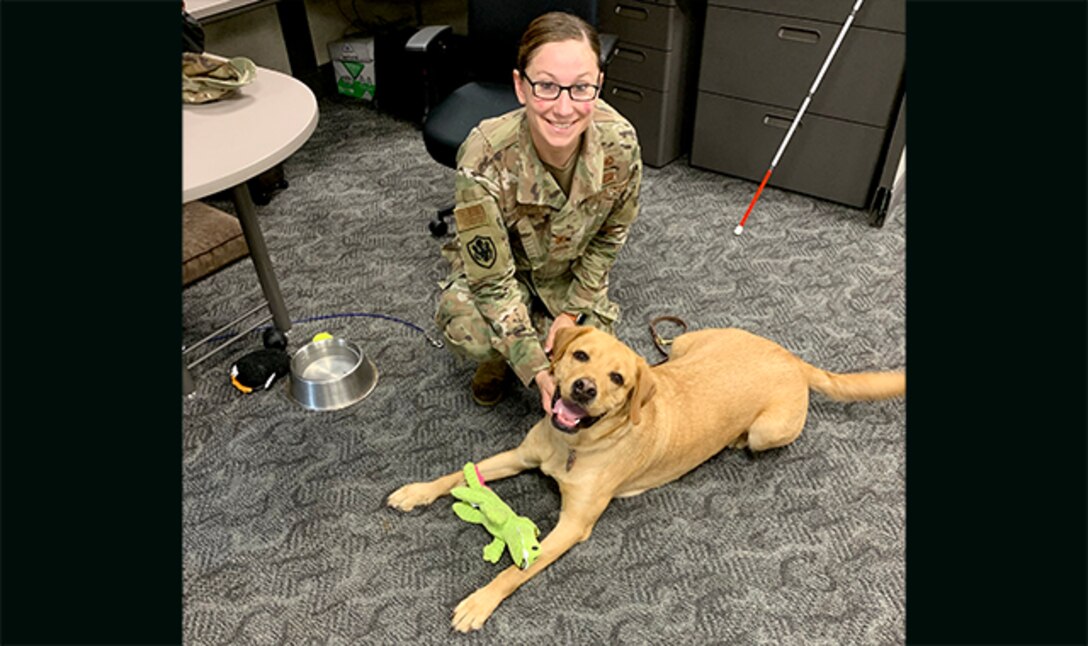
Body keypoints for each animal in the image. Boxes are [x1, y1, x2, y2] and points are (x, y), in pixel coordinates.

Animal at [387, 324, 905, 626]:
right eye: (580, 356)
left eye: (618, 379)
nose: (584, 388)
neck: (573, 446)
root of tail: (792, 360)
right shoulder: (519, 455)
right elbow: (456, 473)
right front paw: (416, 491)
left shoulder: (573, 526)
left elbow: (517, 571)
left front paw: (480, 603)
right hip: (689, 341)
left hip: (767, 430)